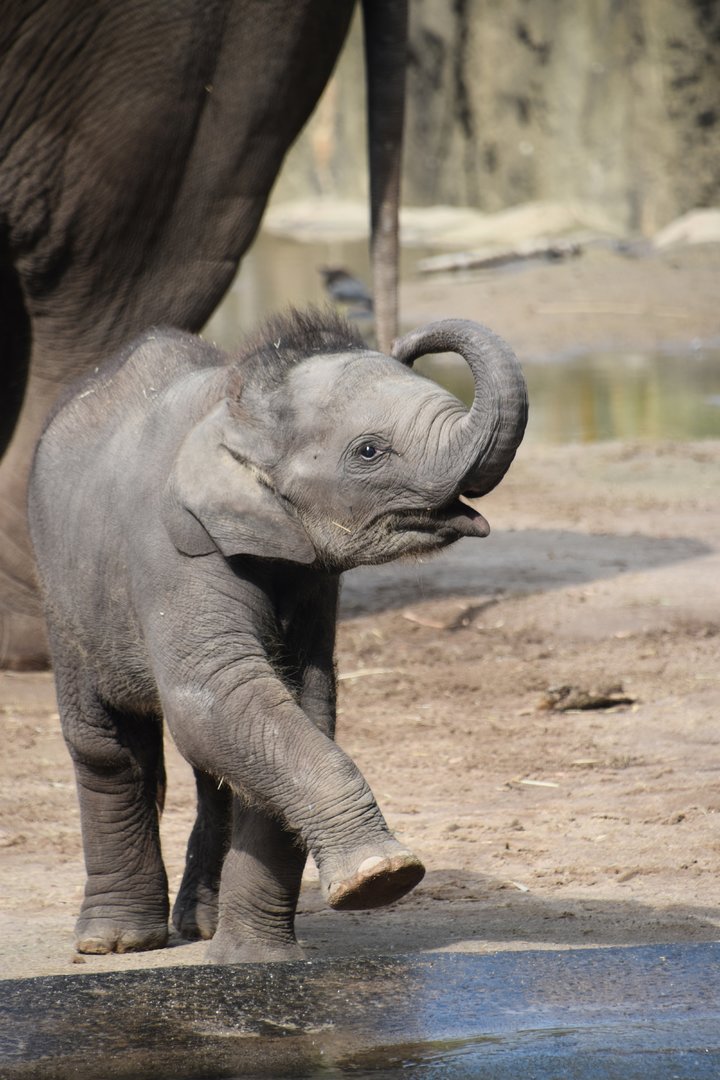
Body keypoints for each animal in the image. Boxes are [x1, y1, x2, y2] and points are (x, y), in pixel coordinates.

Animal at [27, 307, 528, 962]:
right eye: (369, 451)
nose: (408, 338)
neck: (233, 412)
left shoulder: (312, 579)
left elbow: (297, 710)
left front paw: (256, 961)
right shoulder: (174, 550)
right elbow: (216, 698)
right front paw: (382, 877)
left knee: (211, 770)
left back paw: (201, 928)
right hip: (62, 594)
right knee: (106, 746)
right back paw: (116, 943)